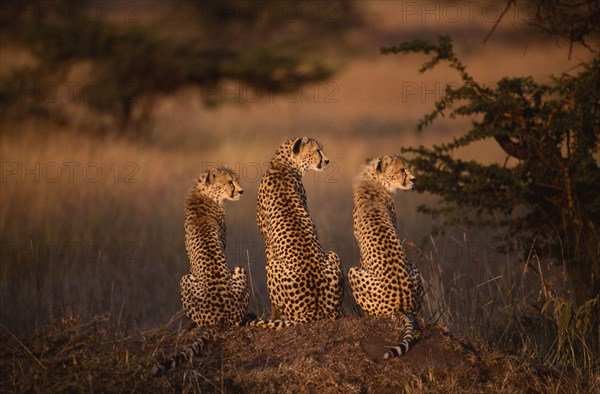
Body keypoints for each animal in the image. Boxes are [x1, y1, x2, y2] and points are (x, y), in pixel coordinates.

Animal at [149, 166, 290, 376]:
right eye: (230, 182)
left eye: (236, 180)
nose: (241, 191)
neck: (205, 194)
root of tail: (221, 317)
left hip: (201, 276)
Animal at [256, 137, 342, 322]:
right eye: (317, 150)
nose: (327, 161)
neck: (283, 165)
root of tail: (315, 309)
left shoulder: (267, 242)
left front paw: (273, 315)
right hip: (333, 255)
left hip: (273, 266)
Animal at [350, 155, 424, 358]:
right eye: (402, 170)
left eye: (408, 168)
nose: (414, 179)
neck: (376, 183)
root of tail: (400, 305)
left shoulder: (361, 257)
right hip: (413, 266)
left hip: (352, 272)